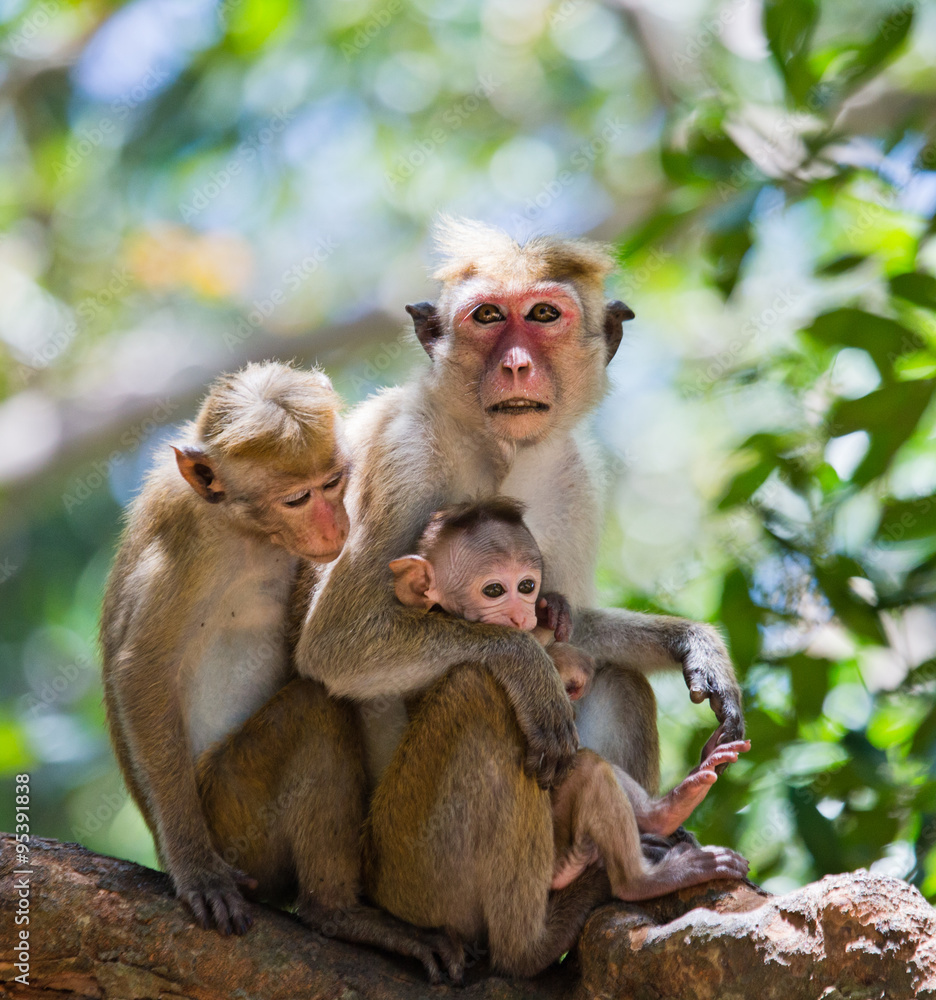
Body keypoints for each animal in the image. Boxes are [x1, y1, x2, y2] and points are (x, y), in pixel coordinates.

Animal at [100, 361, 463, 983]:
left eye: (335, 481)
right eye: (297, 498)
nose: (334, 523)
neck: (246, 528)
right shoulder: (191, 544)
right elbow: (140, 669)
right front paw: (196, 871)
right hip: (233, 816)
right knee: (315, 712)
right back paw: (336, 913)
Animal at [385, 497, 750, 902]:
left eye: (527, 585)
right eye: (494, 590)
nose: (523, 614)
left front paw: (696, 645)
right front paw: (560, 666)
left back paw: (668, 808)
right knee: (587, 770)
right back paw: (642, 877)